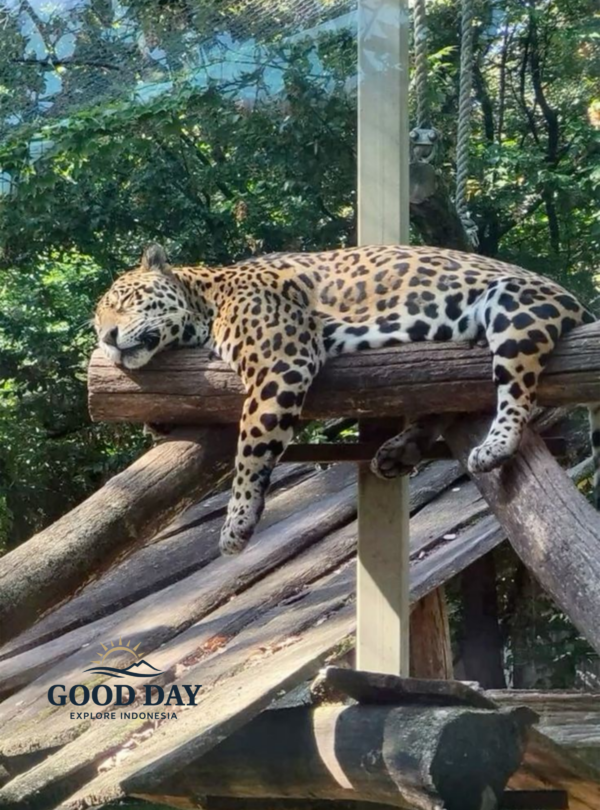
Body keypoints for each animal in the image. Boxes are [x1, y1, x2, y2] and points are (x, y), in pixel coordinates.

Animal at [95, 242, 599, 555]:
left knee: (515, 390)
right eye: (99, 320)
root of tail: (582, 305)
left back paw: (494, 445)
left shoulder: (281, 362)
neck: (208, 299)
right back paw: (399, 451)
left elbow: (250, 448)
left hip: (514, 305)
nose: (107, 337)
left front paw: (237, 521)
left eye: (125, 299)